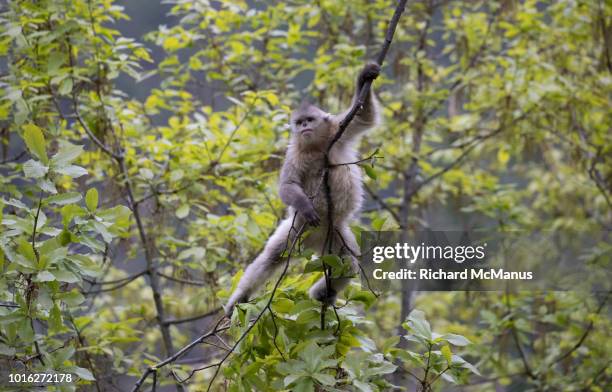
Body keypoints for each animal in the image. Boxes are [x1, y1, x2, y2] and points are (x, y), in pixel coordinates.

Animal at [222, 63, 380, 316]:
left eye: (309, 120)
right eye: (299, 123)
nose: (304, 127)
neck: (315, 148)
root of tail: (315, 239)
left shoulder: (338, 131)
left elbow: (365, 117)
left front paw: (367, 74)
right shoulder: (294, 154)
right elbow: (287, 185)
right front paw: (306, 206)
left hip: (336, 235)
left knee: (348, 265)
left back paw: (323, 293)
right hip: (297, 228)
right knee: (271, 258)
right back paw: (239, 299)